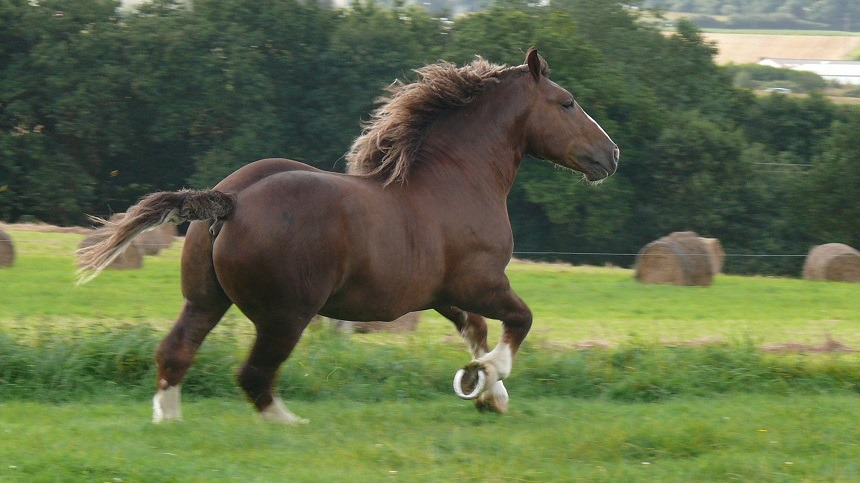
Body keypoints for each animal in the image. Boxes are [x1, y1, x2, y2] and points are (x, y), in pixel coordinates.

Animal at [77, 48, 619, 424]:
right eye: (567, 103)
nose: (611, 156)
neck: (459, 180)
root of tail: (231, 201)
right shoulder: (480, 281)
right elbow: (518, 321)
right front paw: (488, 378)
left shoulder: (442, 294)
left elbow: (476, 331)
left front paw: (487, 394)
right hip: (286, 315)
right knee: (254, 375)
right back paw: (290, 423)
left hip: (205, 300)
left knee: (175, 352)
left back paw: (169, 421)